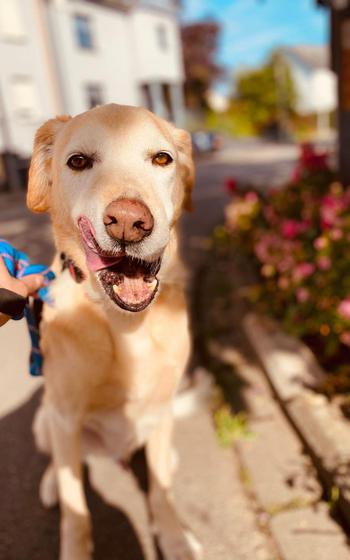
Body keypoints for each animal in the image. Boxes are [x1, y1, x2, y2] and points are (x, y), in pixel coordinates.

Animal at [27, 105, 200, 560]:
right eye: (78, 161)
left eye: (162, 158)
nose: (128, 222)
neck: (122, 322)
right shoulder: (64, 415)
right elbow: (76, 510)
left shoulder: (161, 409)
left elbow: (160, 492)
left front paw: (175, 540)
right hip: (46, 421)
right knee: (59, 463)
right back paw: (49, 483)